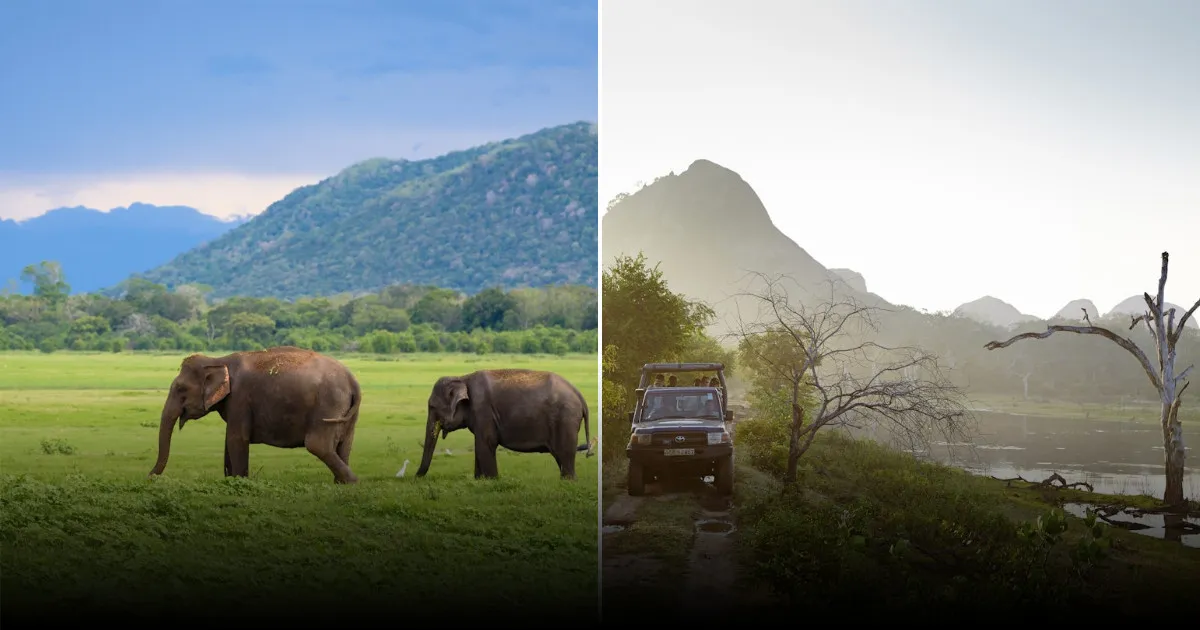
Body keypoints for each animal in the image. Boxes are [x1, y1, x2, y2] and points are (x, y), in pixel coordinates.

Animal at [147, 345, 360, 484]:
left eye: (180, 389)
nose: (149, 477)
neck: (218, 360)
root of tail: (352, 380)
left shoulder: (240, 398)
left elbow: (236, 439)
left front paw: (239, 481)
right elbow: (229, 441)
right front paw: (230, 480)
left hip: (328, 404)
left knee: (318, 445)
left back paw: (352, 482)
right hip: (347, 412)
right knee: (344, 445)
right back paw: (340, 484)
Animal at [415, 364, 592, 480]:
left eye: (432, 406)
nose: (415, 477)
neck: (462, 377)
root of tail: (579, 395)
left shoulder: (483, 409)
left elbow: (485, 444)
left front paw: (491, 480)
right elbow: (480, 446)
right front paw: (480, 480)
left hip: (565, 420)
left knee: (564, 455)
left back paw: (568, 481)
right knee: (561, 457)